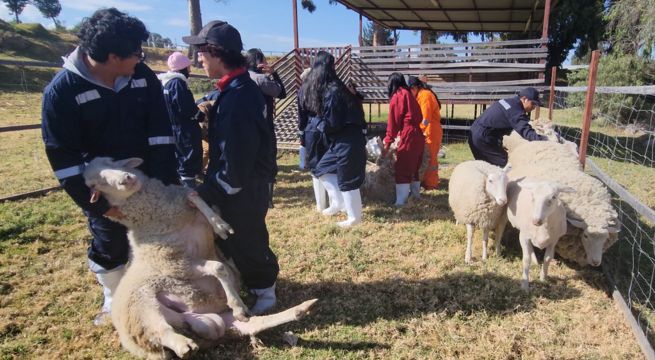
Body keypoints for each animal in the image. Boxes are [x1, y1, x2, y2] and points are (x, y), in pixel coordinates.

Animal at [83, 158, 320, 360]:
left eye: (114, 162)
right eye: (94, 184)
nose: (127, 179)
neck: (155, 214)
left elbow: (195, 197)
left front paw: (220, 224)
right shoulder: (178, 264)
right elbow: (218, 268)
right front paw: (236, 302)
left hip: (220, 320)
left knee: (254, 324)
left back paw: (301, 309)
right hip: (142, 308)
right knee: (160, 330)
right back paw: (183, 345)